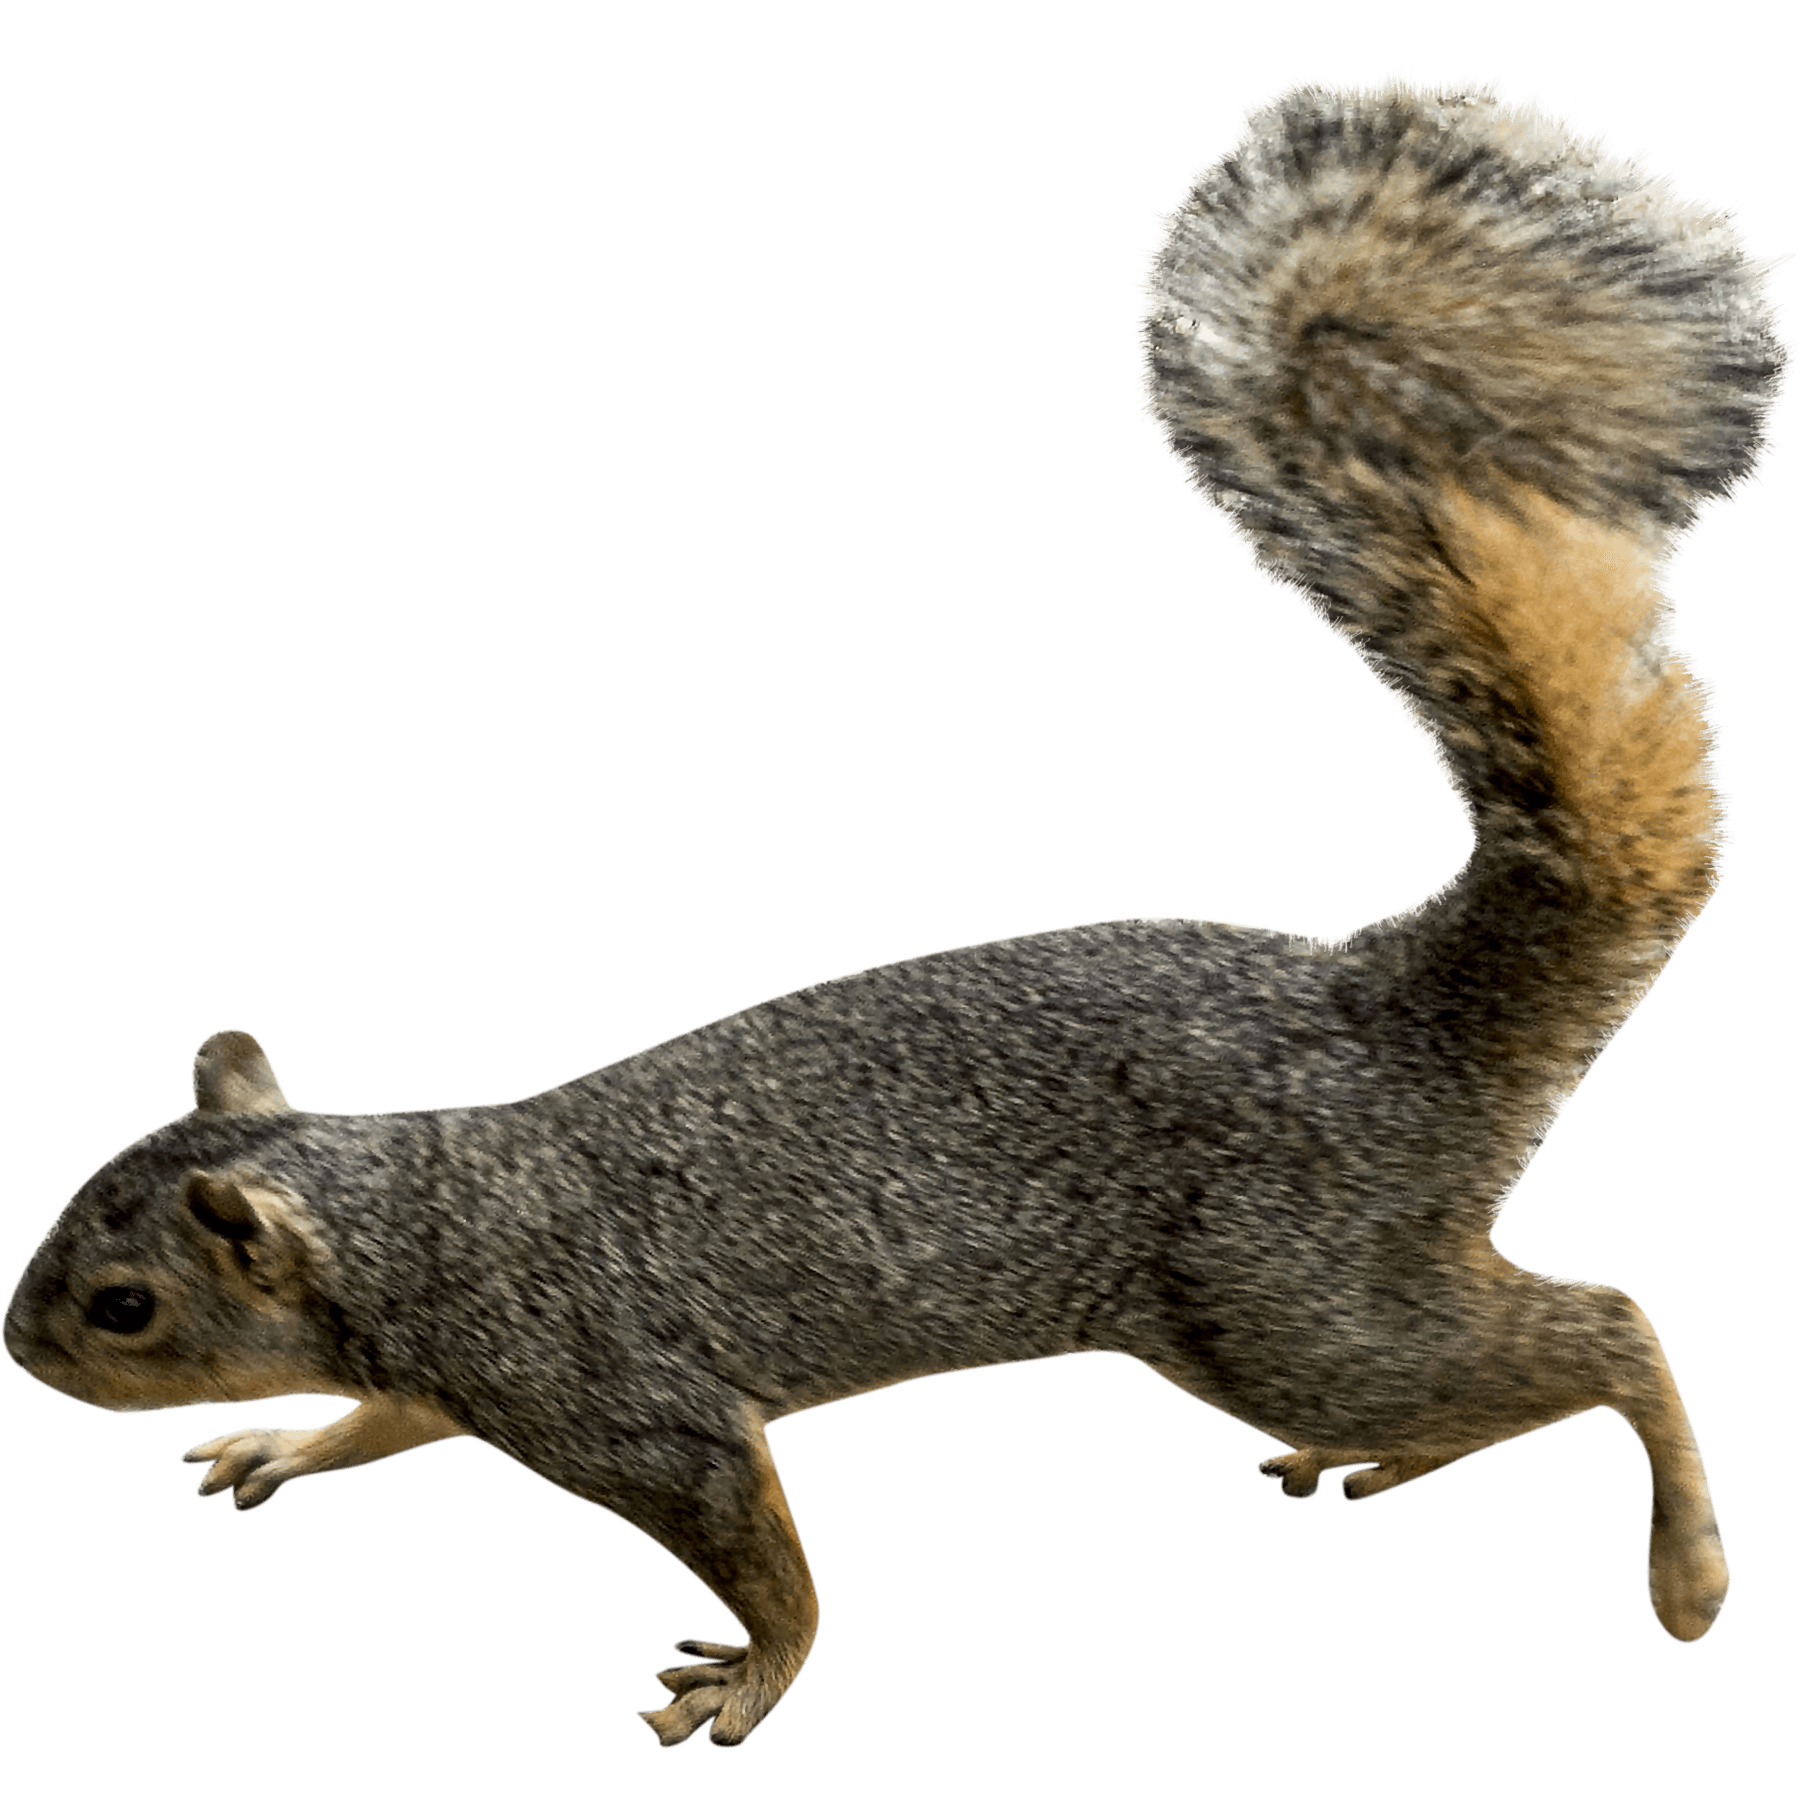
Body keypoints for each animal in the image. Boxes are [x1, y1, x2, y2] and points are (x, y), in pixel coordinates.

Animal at [5, 72, 1789, 1749]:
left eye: (125, 1308)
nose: (18, 1353)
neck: (408, 1225)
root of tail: (1387, 1003)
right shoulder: (458, 1384)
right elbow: (385, 1423)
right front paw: (286, 1445)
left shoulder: (612, 1396)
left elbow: (762, 1552)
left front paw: (747, 1681)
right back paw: (1390, 1459)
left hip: (1283, 1292)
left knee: (1610, 1326)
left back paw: (1688, 1576)